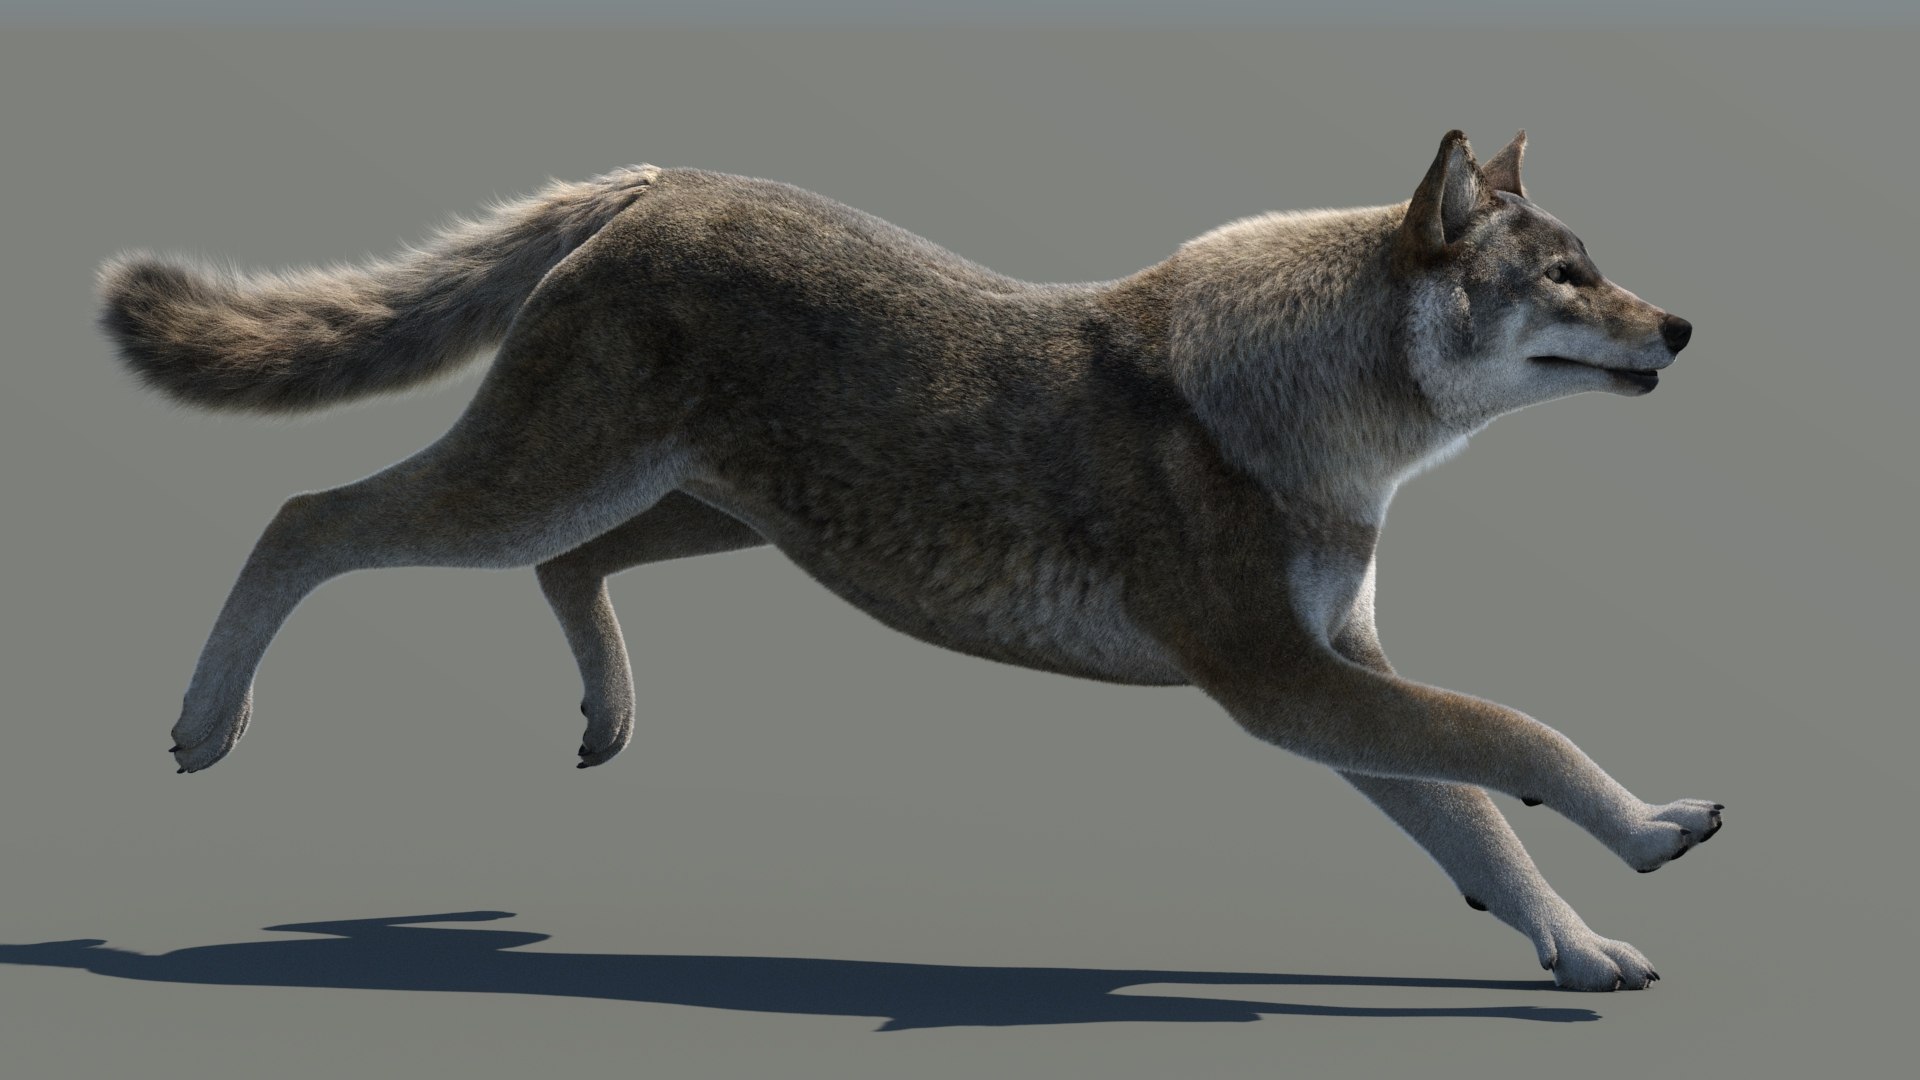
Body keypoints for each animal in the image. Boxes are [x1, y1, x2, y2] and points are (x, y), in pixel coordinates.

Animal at [99, 130, 1714, 990]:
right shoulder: (1279, 686)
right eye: (1566, 277)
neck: (1310, 419)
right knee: (304, 516)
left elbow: (1477, 821)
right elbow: (1518, 740)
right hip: (539, 491)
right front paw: (1646, 840)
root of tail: (661, 178)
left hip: (696, 512)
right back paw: (203, 725)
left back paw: (609, 716)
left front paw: (1577, 947)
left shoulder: (1334, 677)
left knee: (562, 573)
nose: (1686, 326)